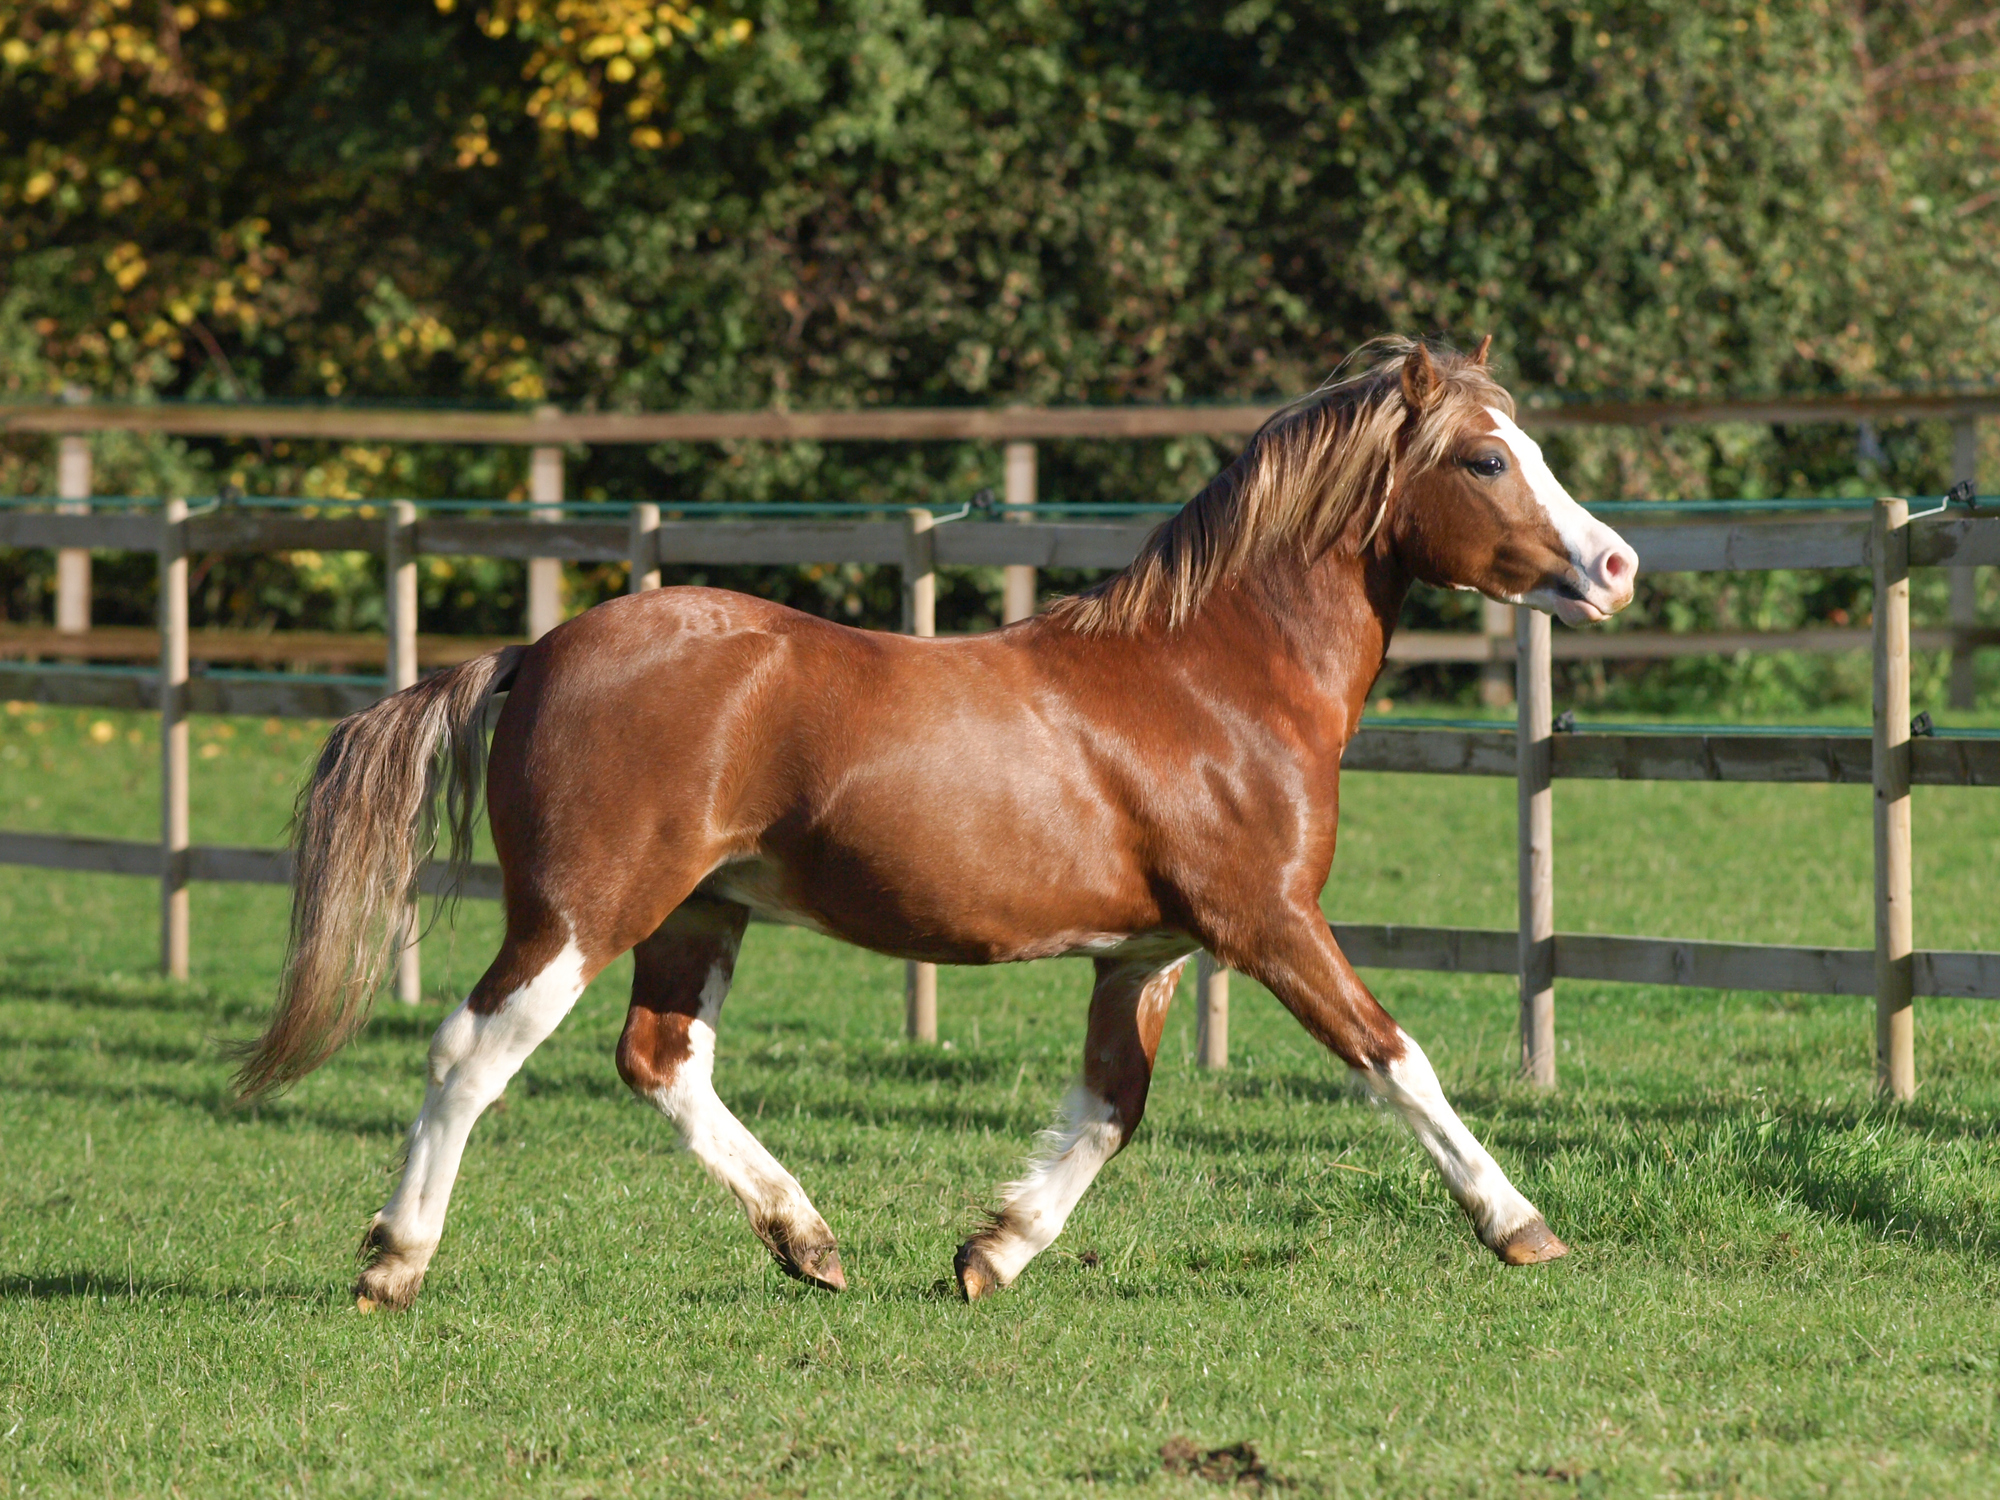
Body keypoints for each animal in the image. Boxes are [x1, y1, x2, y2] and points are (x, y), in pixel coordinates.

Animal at [234, 336, 1637, 1310]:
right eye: (1484, 458)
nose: (1615, 566)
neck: (1209, 682)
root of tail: (538, 653)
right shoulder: (1270, 922)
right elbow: (1394, 1060)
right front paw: (1521, 1227)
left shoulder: (1144, 953)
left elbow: (1110, 1109)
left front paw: (989, 1254)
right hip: (582, 910)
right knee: (470, 1052)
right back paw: (393, 1264)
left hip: (699, 912)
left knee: (661, 1060)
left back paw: (808, 1242)